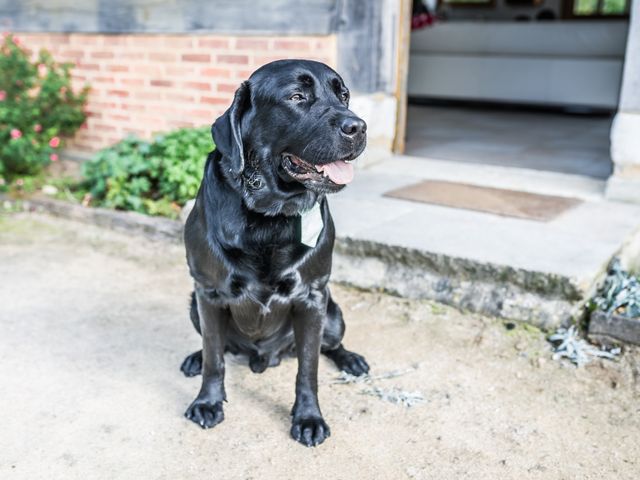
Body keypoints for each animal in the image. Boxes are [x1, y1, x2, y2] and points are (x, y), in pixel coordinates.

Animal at [182, 60, 368, 446]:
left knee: (330, 345)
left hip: (333, 312)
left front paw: (309, 417)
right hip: (193, 304)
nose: (358, 126)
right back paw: (194, 358)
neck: (270, 214)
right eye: (296, 97)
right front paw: (208, 402)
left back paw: (351, 359)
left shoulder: (312, 296)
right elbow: (214, 358)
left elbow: (309, 367)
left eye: (343, 95)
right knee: (212, 346)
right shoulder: (208, 293)